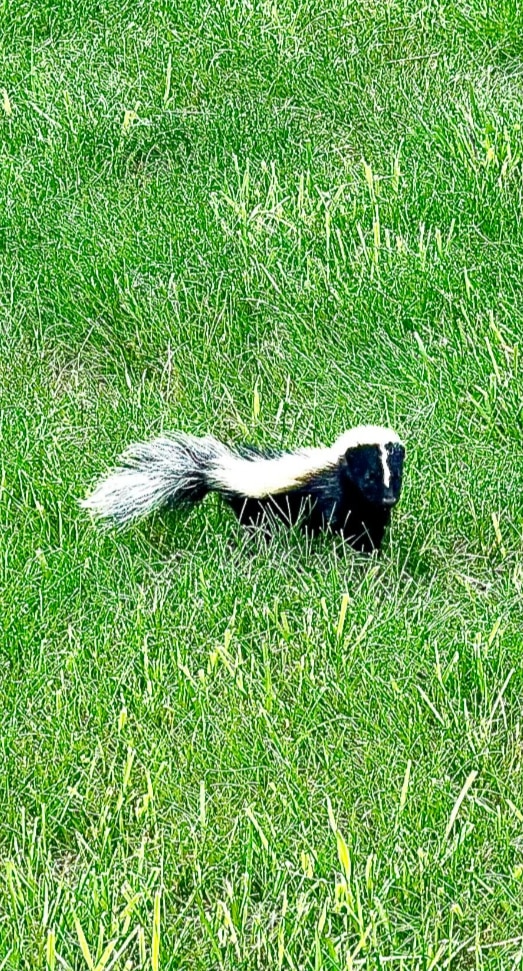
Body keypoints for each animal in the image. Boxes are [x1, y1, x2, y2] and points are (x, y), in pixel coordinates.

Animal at [82, 428, 406, 556]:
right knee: (259, 527)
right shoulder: (332, 494)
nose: (389, 498)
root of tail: (218, 469)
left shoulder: (369, 510)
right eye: (369, 477)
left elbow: (368, 530)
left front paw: (370, 555)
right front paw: (343, 552)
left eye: (397, 476)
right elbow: (336, 523)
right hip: (256, 510)